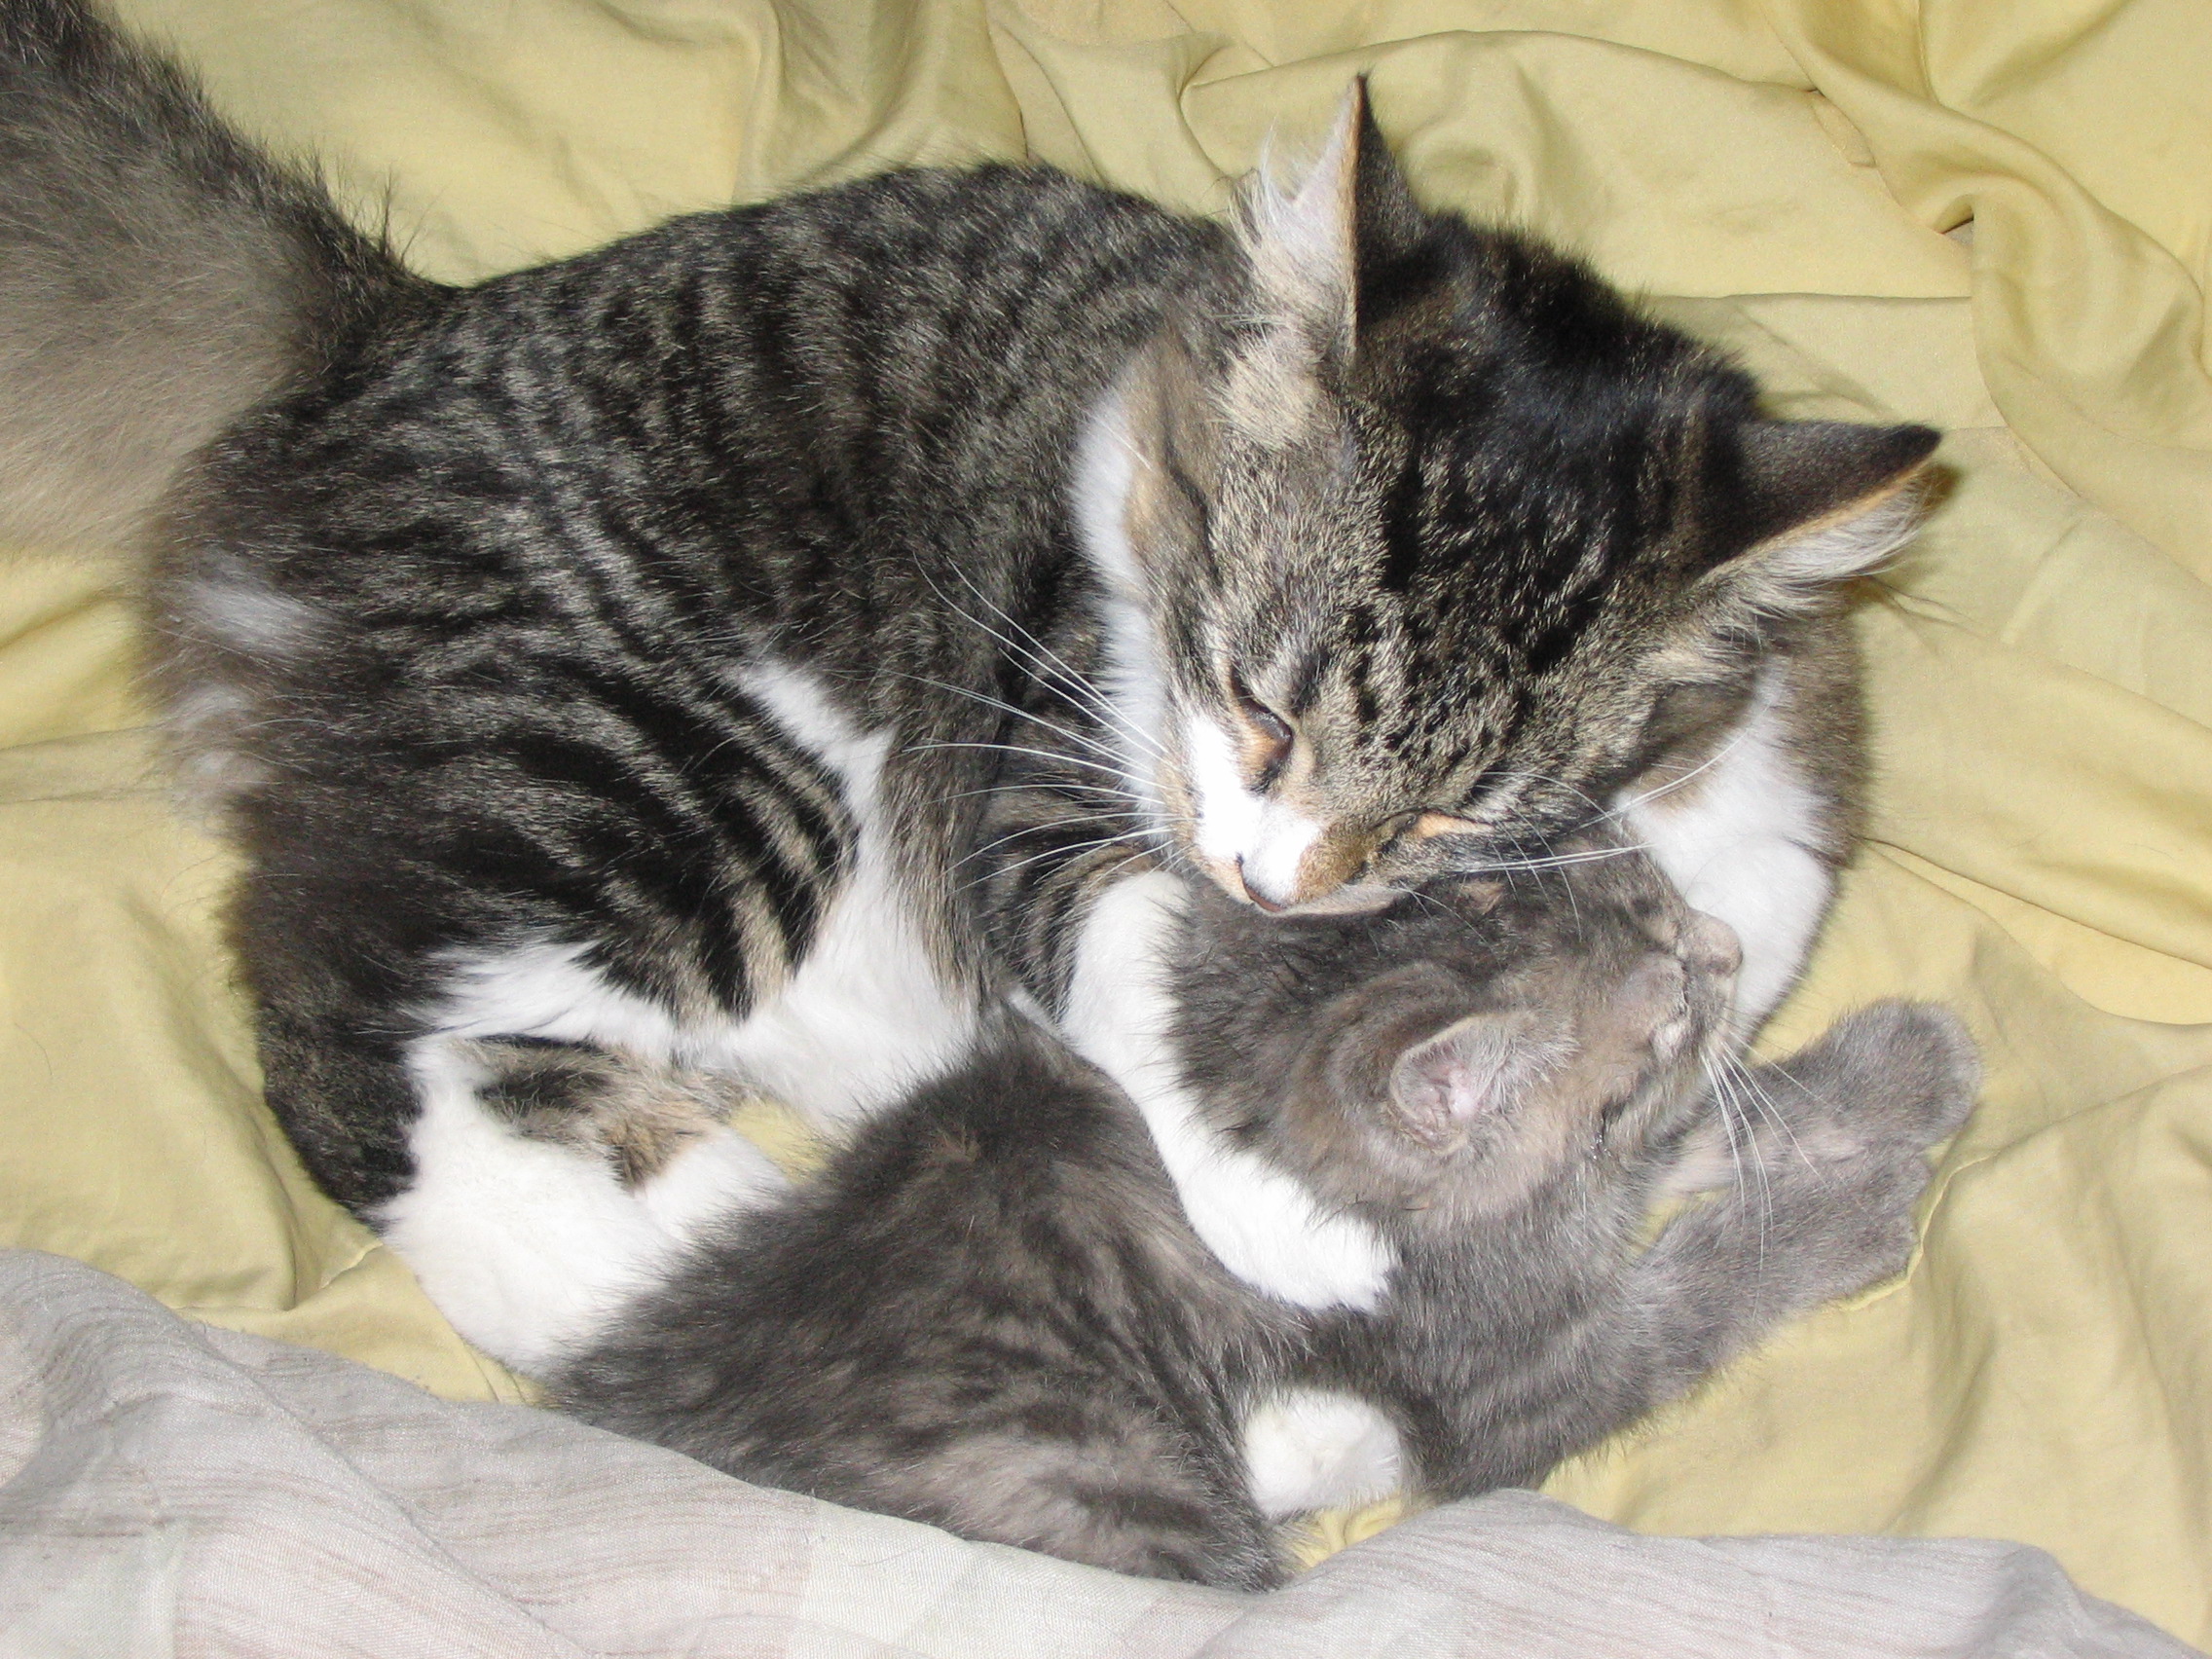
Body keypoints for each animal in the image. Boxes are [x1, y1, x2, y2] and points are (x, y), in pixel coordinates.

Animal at [1, 0, 1940, 1367]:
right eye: (1255, 703)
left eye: (1458, 813)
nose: (1268, 880)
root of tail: (377, 339)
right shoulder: (1039, 771)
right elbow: (1148, 966)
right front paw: (1298, 1221)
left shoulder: (1771, 835)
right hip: (673, 774)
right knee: (355, 1037)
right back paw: (702, 1279)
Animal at [554, 844, 1978, 1587]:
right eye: (1669, 1004)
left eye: (1665, 896)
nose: (1728, 949)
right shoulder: (1510, 1383)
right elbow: (1691, 1289)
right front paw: (1848, 1212)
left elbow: (1687, 1149)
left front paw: (1895, 1071)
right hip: (1095, 1489)